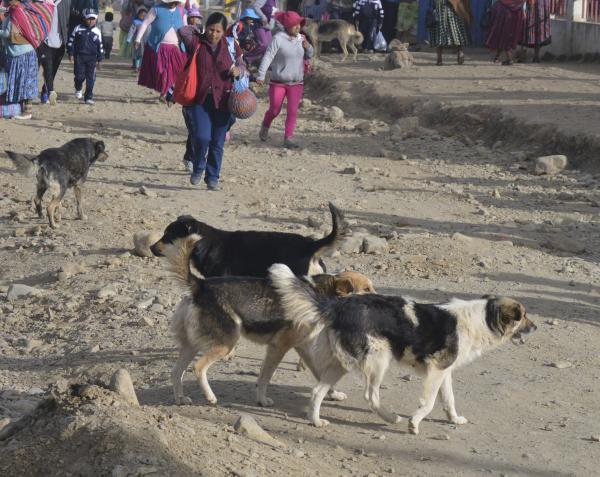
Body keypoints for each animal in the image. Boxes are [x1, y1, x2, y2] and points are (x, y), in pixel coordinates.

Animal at [162, 234, 372, 406]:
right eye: (367, 289)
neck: (319, 293)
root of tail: (200, 285)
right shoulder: (278, 347)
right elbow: (265, 377)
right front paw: (262, 400)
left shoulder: (302, 348)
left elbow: (320, 375)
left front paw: (333, 394)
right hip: (226, 344)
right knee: (198, 368)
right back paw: (210, 397)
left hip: (191, 345)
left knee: (175, 372)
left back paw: (180, 399)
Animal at [270, 262, 536, 434]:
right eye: (523, 316)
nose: (535, 327)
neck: (483, 318)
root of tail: (338, 306)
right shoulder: (436, 370)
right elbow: (428, 402)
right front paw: (414, 423)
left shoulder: (445, 371)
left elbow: (449, 400)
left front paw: (455, 419)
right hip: (378, 361)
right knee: (370, 395)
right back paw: (391, 418)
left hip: (342, 363)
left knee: (317, 391)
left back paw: (316, 422)